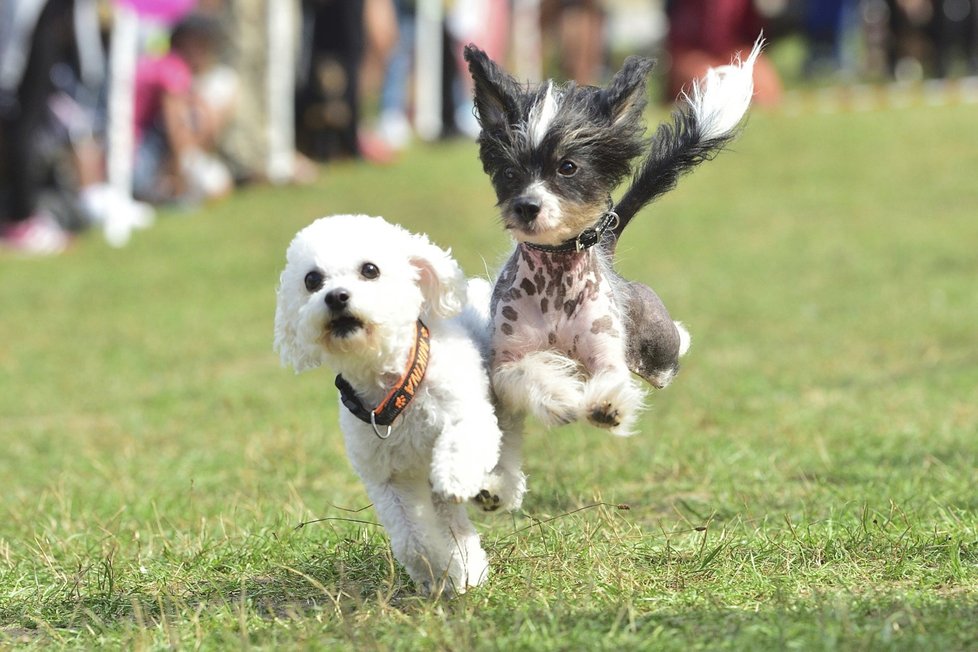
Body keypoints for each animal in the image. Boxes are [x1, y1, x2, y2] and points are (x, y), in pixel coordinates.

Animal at [270, 215, 510, 596]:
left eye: (370, 269)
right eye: (311, 280)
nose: (336, 296)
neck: (394, 389)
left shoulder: (468, 415)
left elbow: (462, 446)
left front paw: (456, 479)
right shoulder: (387, 479)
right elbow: (412, 541)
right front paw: (440, 572)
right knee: (452, 523)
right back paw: (469, 568)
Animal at [462, 39, 760, 438]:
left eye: (568, 167)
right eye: (510, 172)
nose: (526, 206)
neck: (555, 280)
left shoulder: (605, 351)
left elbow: (612, 376)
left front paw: (607, 406)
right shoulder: (507, 360)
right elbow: (526, 372)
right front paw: (561, 398)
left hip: (657, 349)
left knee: (670, 354)